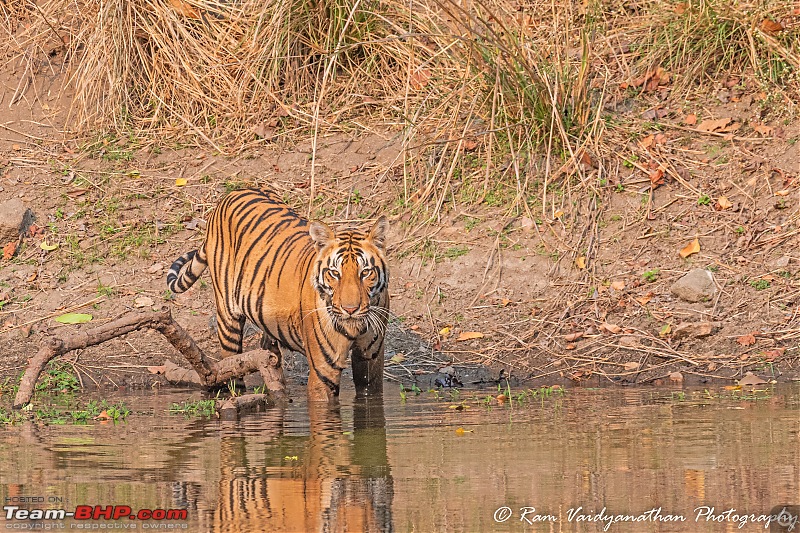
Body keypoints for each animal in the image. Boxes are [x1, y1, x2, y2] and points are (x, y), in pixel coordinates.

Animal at [168, 187, 390, 400]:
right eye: (335, 273)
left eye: (365, 272)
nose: (350, 309)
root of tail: (230, 194)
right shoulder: (323, 371)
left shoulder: (370, 360)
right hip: (227, 315)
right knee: (232, 366)